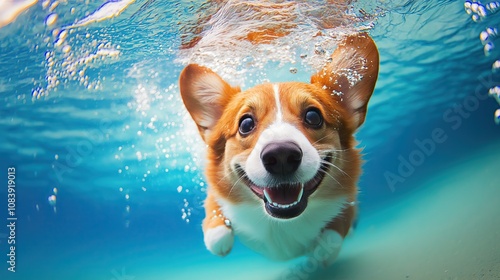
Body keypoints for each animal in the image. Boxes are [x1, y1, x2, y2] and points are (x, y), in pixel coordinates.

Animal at [178, 32, 376, 264]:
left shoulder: (349, 197)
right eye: (245, 124)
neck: (282, 224)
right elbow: (215, 211)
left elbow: (336, 230)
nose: (281, 156)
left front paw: (322, 251)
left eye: (313, 116)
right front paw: (218, 233)